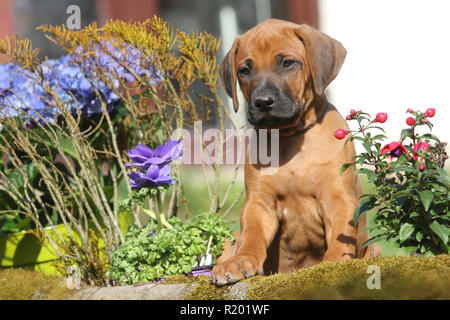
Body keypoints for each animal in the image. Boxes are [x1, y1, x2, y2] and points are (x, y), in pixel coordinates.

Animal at [211, 18, 380, 286]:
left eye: (288, 63)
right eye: (244, 71)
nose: (263, 102)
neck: (290, 138)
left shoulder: (337, 198)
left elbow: (341, 236)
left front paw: (333, 264)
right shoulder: (259, 203)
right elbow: (252, 235)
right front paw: (241, 260)